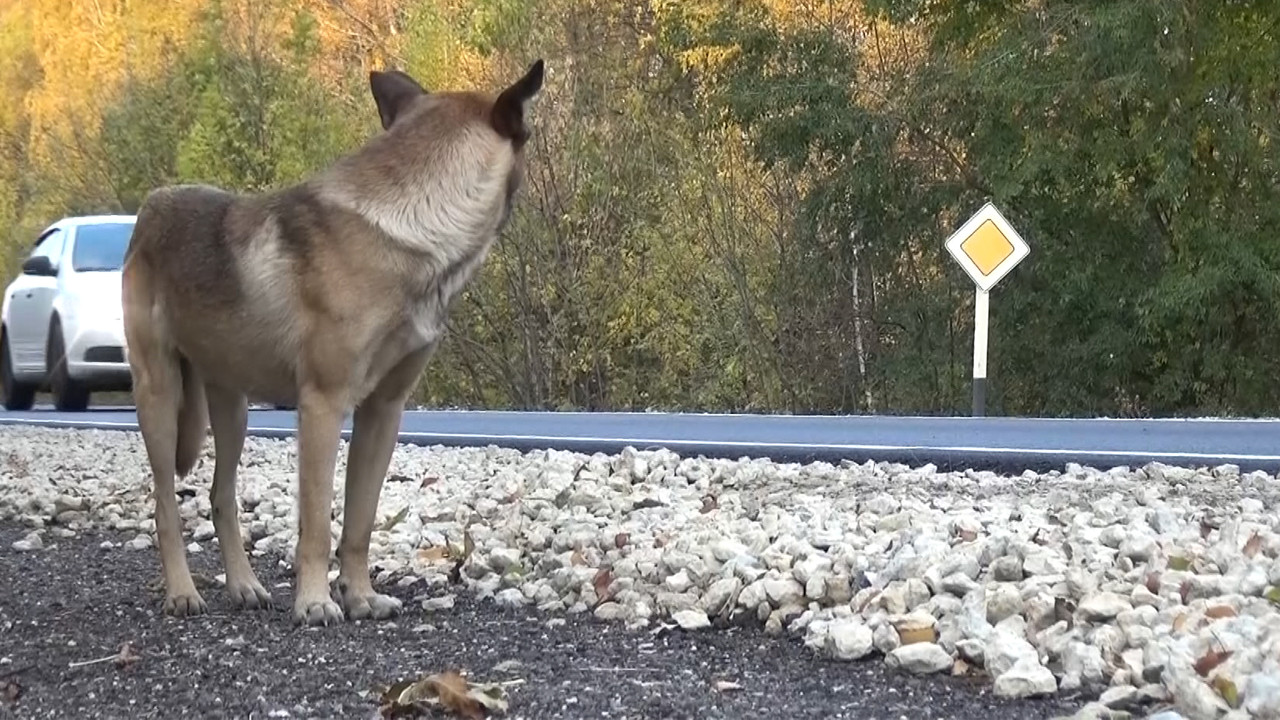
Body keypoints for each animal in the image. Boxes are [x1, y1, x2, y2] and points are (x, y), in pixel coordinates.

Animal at [117, 60, 542, 622]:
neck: (410, 224)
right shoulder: (322, 407)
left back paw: (244, 585)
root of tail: (151, 206)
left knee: (221, 497)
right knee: (166, 504)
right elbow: (317, 525)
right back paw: (183, 591)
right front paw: (316, 602)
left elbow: (359, 523)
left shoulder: (382, 413)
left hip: (232, 411)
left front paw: (359, 595)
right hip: (160, 400)